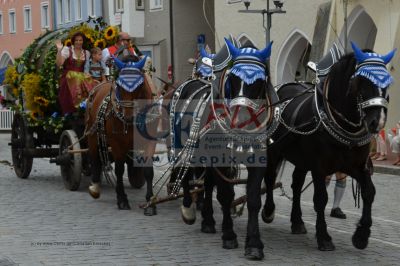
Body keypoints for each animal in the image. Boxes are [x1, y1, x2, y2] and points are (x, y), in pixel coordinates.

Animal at [85, 55, 159, 214]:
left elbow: (148, 170)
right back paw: (95, 186)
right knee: (95, 158)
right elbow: (119, 169)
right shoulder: (117, 143)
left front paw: (150, 202)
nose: (128, 117)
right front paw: (122, 199)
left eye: (140, 85)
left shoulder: (150, 141)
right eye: (119, 86)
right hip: (93, 135)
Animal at [260, 42, 396, 251]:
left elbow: (369, 192)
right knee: (269, 178)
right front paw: (324, 237)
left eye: (387, 83)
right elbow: (321, 199)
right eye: (362, 80)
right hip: (274, 151)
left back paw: (297, 221)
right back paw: (268, 211)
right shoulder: (319, 168)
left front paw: (362, 235)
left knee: (296, 184)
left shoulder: (356, 166)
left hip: (301, 159)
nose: (377, 122)